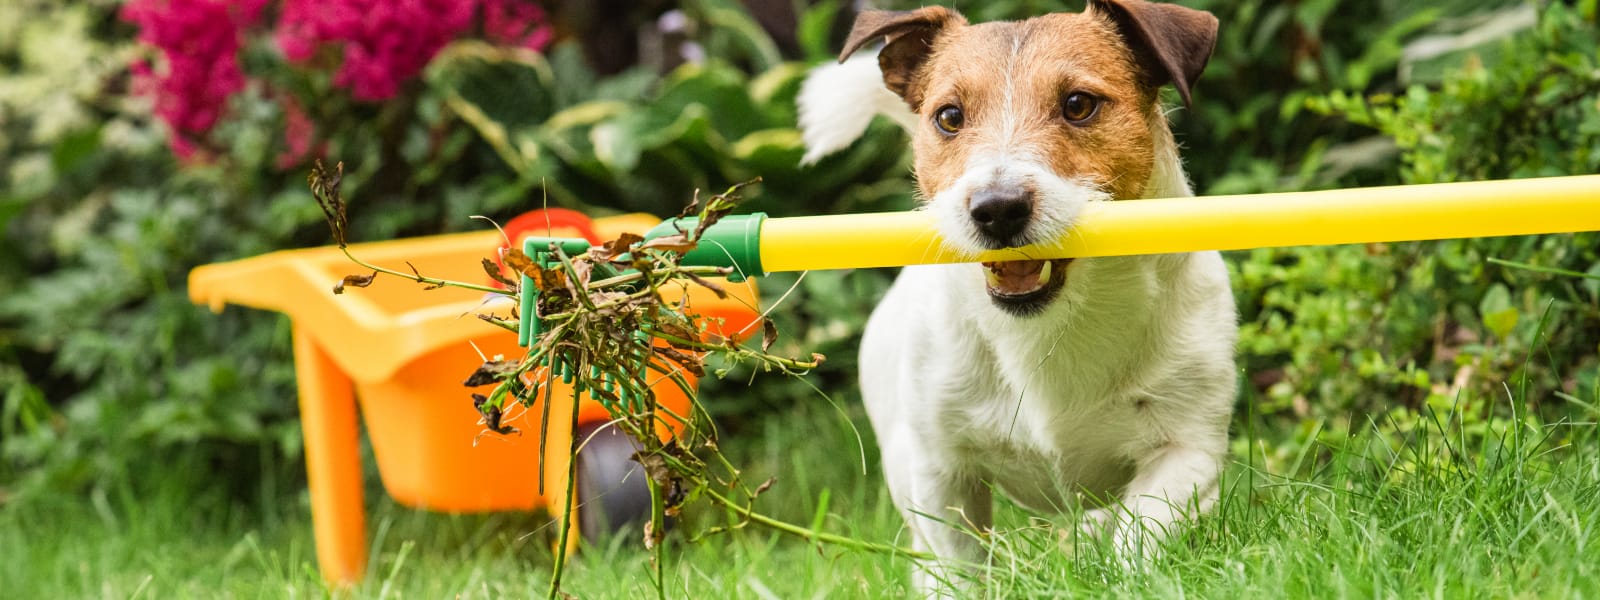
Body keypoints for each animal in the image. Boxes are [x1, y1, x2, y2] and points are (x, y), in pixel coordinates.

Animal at [800, 0, 1235, 592]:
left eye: (1078, 104)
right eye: (949, 117)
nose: (997, 209)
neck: (1049, 328)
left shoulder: (1187, 449)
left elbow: (1139, 535)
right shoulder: (941, 471)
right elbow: (959, 564)